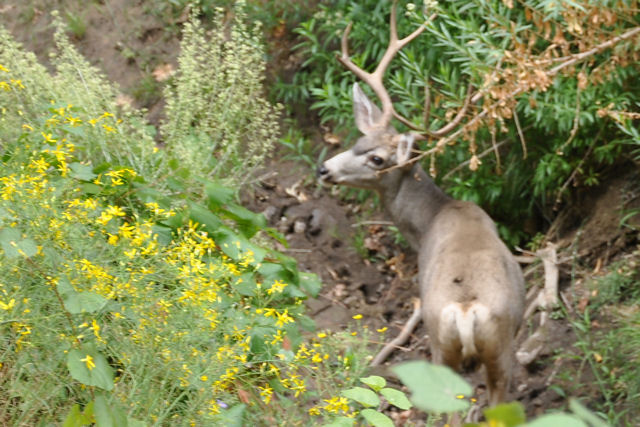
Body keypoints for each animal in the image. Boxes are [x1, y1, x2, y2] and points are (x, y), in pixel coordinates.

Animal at [318, 0, 528, 408]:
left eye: (378, 159)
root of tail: (465, 309)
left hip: (446, 342)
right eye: (357, 142)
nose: (324, 169)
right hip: (495, 349)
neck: (431, 220)